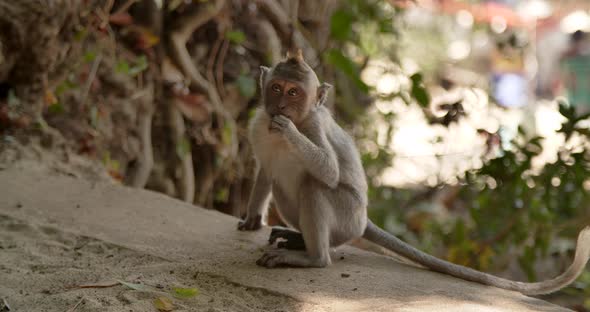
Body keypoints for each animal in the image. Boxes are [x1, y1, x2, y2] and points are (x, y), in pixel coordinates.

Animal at [237, 50, 590, 296]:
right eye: (277, 88)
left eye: (294, 93)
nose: (281, 107)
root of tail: (363, 220)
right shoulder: (258, 125)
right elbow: (266, 171)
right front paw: (252, 218)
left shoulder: (312, 125)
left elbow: (328, 171)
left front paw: (289, 132)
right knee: (283, 185)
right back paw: (300, 242)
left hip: (347, 215)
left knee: (313, 186)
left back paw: (313, 257)